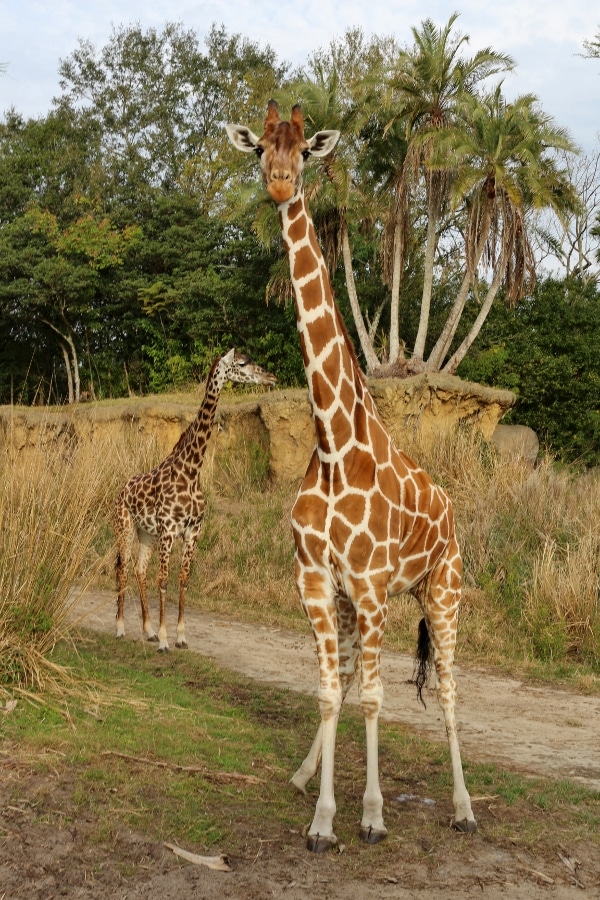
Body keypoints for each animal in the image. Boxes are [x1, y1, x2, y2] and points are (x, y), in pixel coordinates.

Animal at [113, 348, 276, 652]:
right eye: (242, 363)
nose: (271, 376)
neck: (191, 472)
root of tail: (119, 491)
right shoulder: (168, 531)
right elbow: (164, 581)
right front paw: (165, 641)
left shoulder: (193, 531)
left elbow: (184, 580)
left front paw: (179, 637)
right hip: (124, 527)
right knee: (123, 569)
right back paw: (120, 629)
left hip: (146, 533)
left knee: (139, 570)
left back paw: (147, 630)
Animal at [224, 103, 474, 852]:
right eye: (260, 149)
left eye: (305, 150)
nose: (280, 185)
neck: (334, 445)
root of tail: (450, 509)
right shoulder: (317, 579)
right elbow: (331, 690)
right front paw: (322, 819)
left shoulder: (368, 585)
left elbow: (372, 696)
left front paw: (371, 814)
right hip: (368, 599)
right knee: (351, 674)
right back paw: (307, 776)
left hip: (442, 588)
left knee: (448, 686)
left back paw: (464, 809)